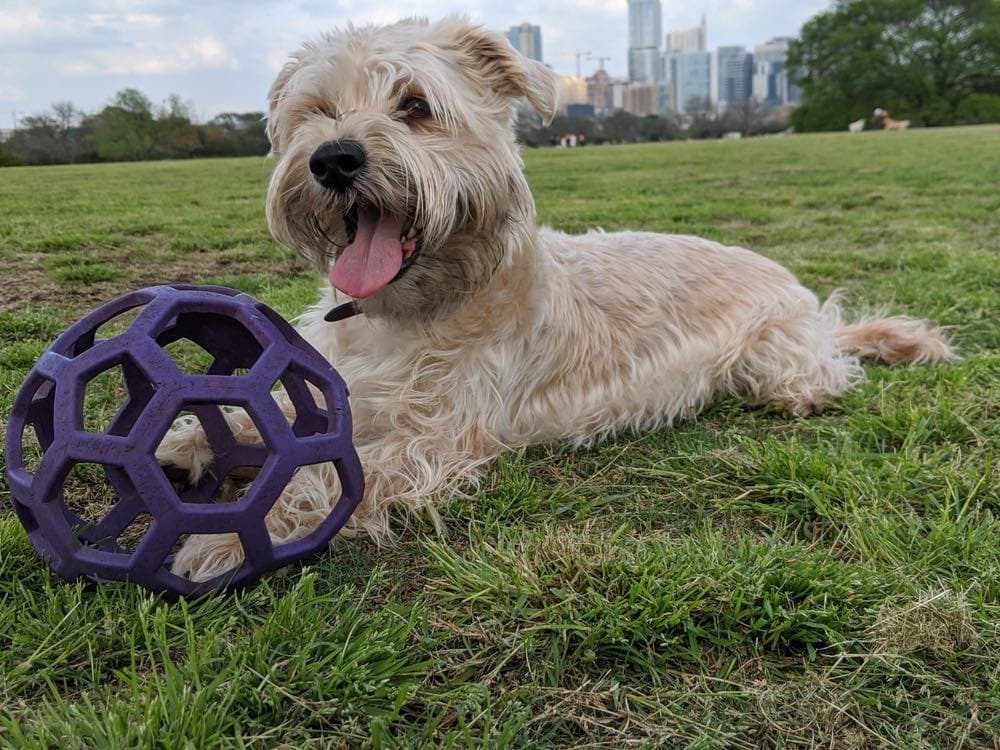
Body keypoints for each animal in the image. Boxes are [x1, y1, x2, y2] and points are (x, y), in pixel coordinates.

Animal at [160, 16, 956, 580]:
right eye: (319, 111)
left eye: (416, 106)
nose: (332, 159)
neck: (412, 309)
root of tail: (805, 299)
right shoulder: (342, 384)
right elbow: (265, 413)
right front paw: (183, 441)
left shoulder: (437, 437)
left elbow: (328, 472)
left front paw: (233, 538)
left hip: (776, 359)